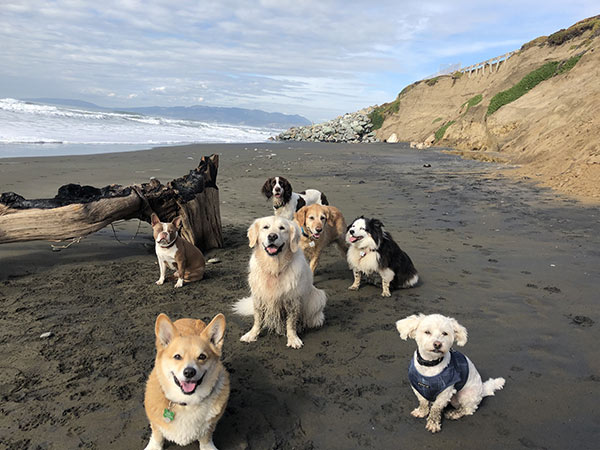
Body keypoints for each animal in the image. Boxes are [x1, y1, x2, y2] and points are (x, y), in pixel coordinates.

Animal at [144, 312, 231, 450]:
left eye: (202, 356)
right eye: (177, 356)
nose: (189, 372)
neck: (187, 403)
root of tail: (189, 318)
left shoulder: (210, 425)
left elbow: (206, 437)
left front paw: (207, 447)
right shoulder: (156, 423)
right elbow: (157, 435)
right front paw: (154, 446)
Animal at [234, 216, 328, 350]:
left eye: (282, 228)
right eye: (265, 227)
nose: (272, 236)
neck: (274, 267)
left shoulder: (292, 300)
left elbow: (291, 322)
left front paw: (293, 338)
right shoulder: (259, 297)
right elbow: (257, 319)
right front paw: (252, 334)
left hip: (318, 296)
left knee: (314, 314)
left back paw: (314, 321)